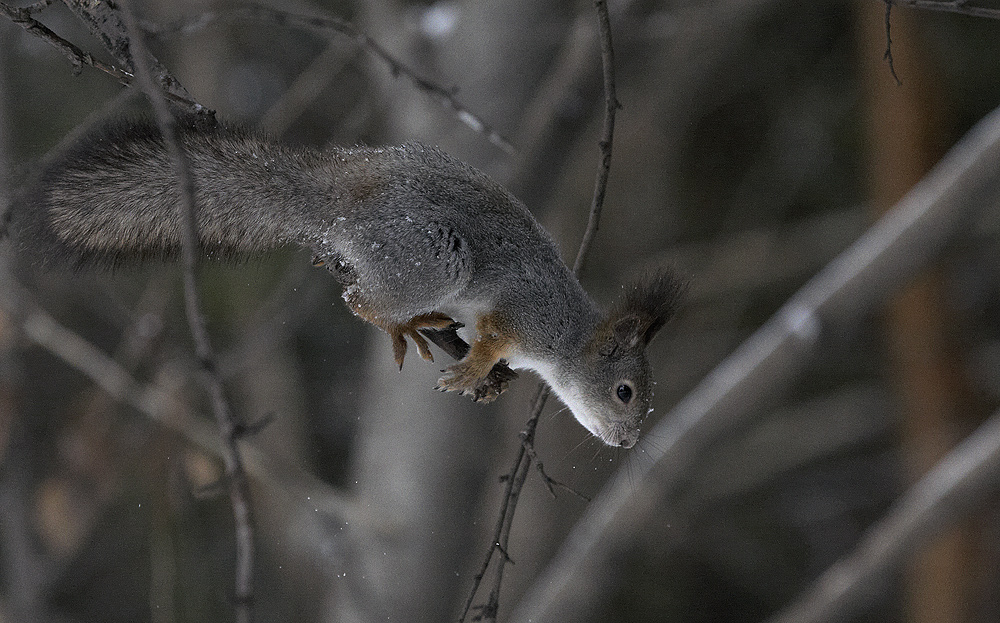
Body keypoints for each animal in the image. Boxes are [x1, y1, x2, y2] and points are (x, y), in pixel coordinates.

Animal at [0, 119, 684, 448]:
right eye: (625, 392)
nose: (627, 443)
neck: (565, 336)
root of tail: (339, 202)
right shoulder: (524, 311)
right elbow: (493, 336)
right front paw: (473, 369)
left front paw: (492, 380)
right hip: (434, 258)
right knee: (358, 299)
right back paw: (403, 322)